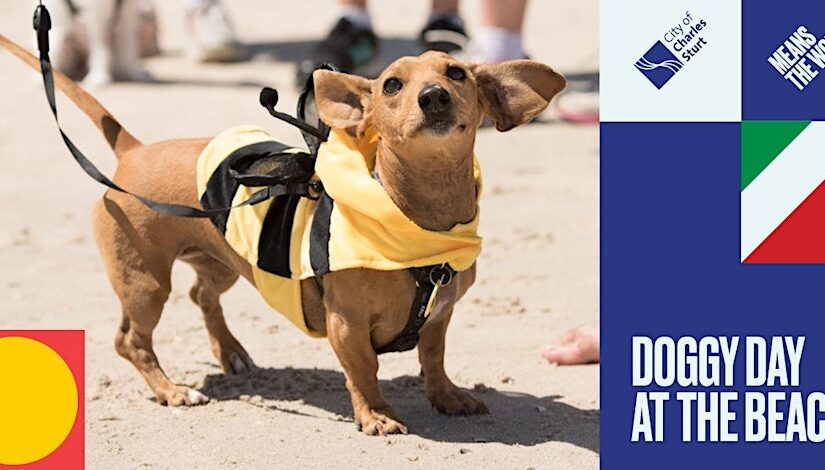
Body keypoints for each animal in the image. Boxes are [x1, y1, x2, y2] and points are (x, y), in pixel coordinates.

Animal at [0, 34, 564, 436]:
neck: (416, 218)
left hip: (224, 262)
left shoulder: (439, 317)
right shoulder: (345, 325)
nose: (434, 96)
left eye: (456, 72)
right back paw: (172, 389)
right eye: (391, 85)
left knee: (202, 294)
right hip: (144, 285)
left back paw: (231, 353)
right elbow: (364, 371)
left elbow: (434, 358)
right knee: (131, 340)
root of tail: (132, 150)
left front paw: (447, 396)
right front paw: (375, 415)